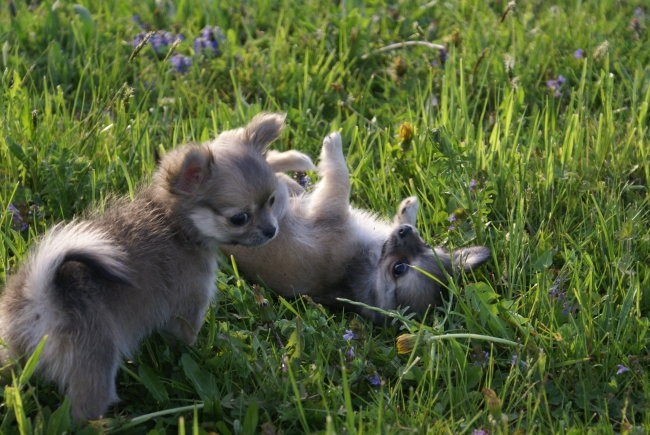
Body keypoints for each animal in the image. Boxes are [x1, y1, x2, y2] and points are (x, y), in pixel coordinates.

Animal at [0, 112, 290, 422]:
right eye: (240, 218)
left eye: (272, 200)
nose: (272, 230)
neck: (173, 223)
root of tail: (42, 294)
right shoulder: (189, 306)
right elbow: (186, 339)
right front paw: (201, 350)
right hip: (93, 364)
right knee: (80, 413)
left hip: (14, 350)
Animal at [220, 131, 488, 322]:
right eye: (425, 246)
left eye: (399, 269)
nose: (405, 232)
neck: (368, 264)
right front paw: (408, 210)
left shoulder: (329, 210)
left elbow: (341, 178)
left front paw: (332, 147)